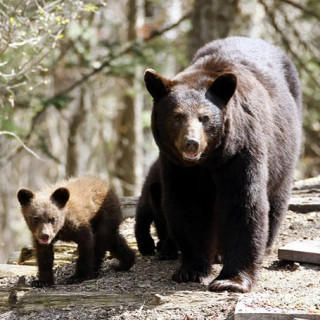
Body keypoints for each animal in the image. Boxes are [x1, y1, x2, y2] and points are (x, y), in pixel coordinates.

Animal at [136, 37, 302, 292]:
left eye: (204, 117)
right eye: (177, 116)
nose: (191, 143)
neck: (208, 161)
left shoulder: (241, 151)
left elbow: (243, 203)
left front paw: (231, 280)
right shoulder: (177, 166)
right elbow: (187, 206)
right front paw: (191, 270)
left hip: (284, 153)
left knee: (276, 200)